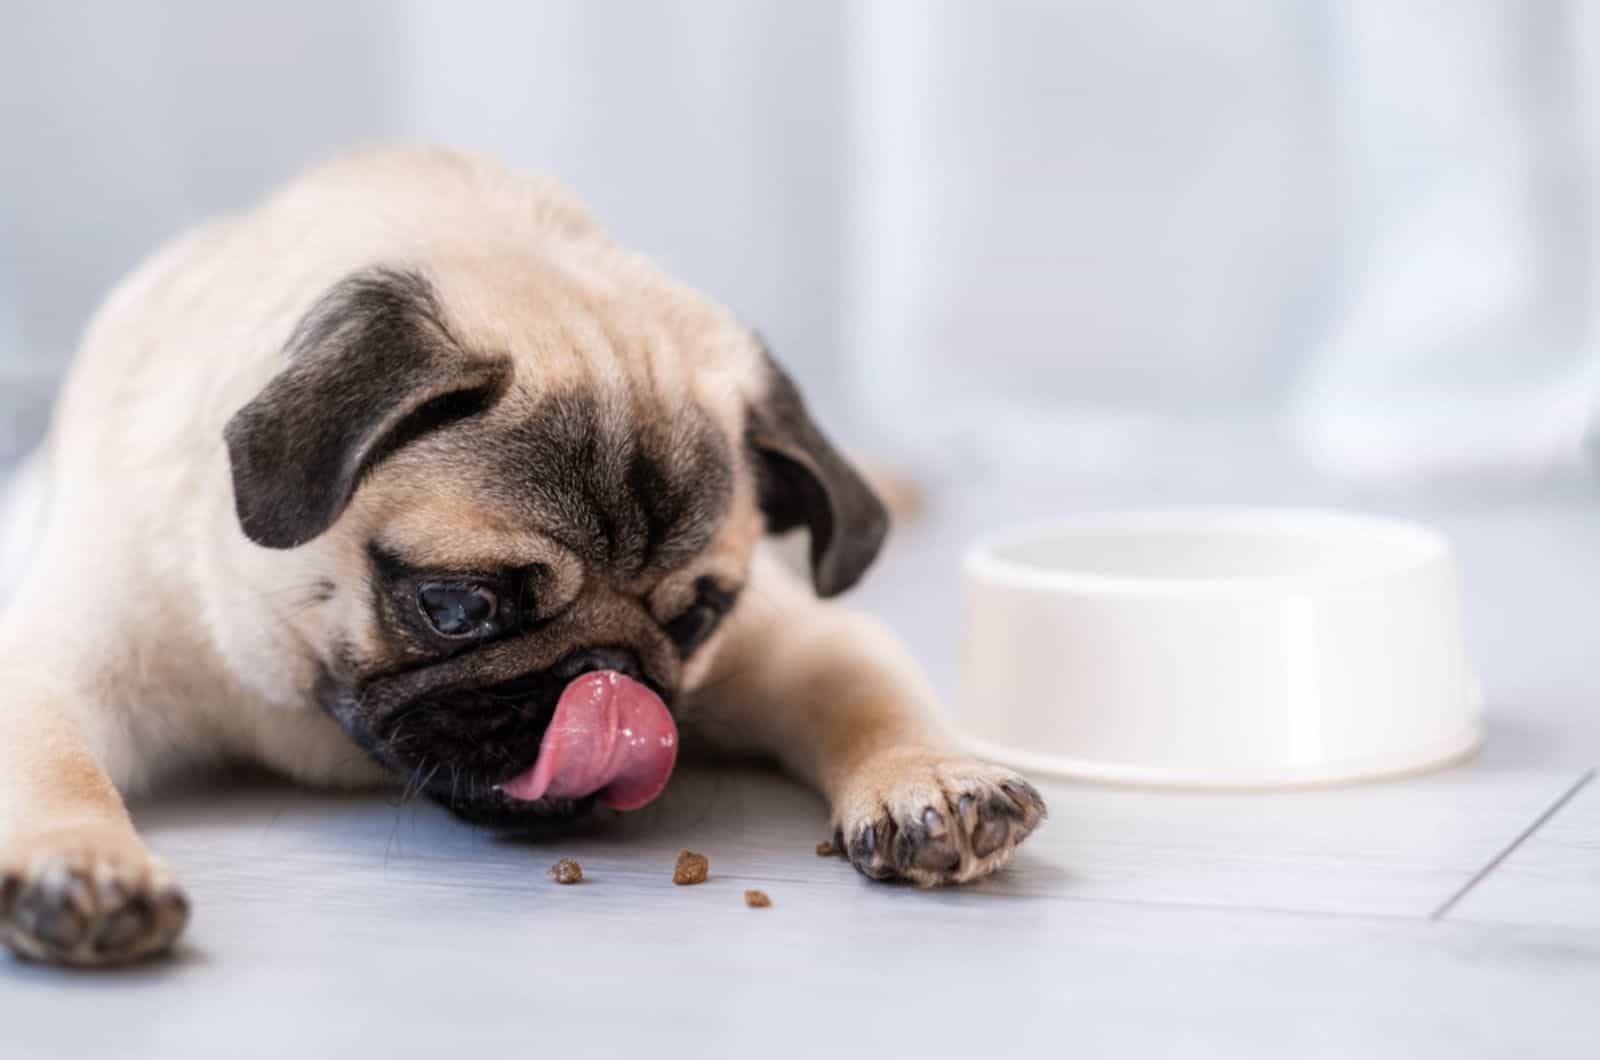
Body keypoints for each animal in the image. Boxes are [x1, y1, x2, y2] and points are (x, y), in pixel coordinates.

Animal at [0, 145, 1049, 967]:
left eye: (697, 619)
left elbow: (864, 689)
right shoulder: (64, 660)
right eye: (458, 607)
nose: (607, 677)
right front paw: (83, 865)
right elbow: (56, 764)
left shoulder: (793, 638)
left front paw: (934, 781)